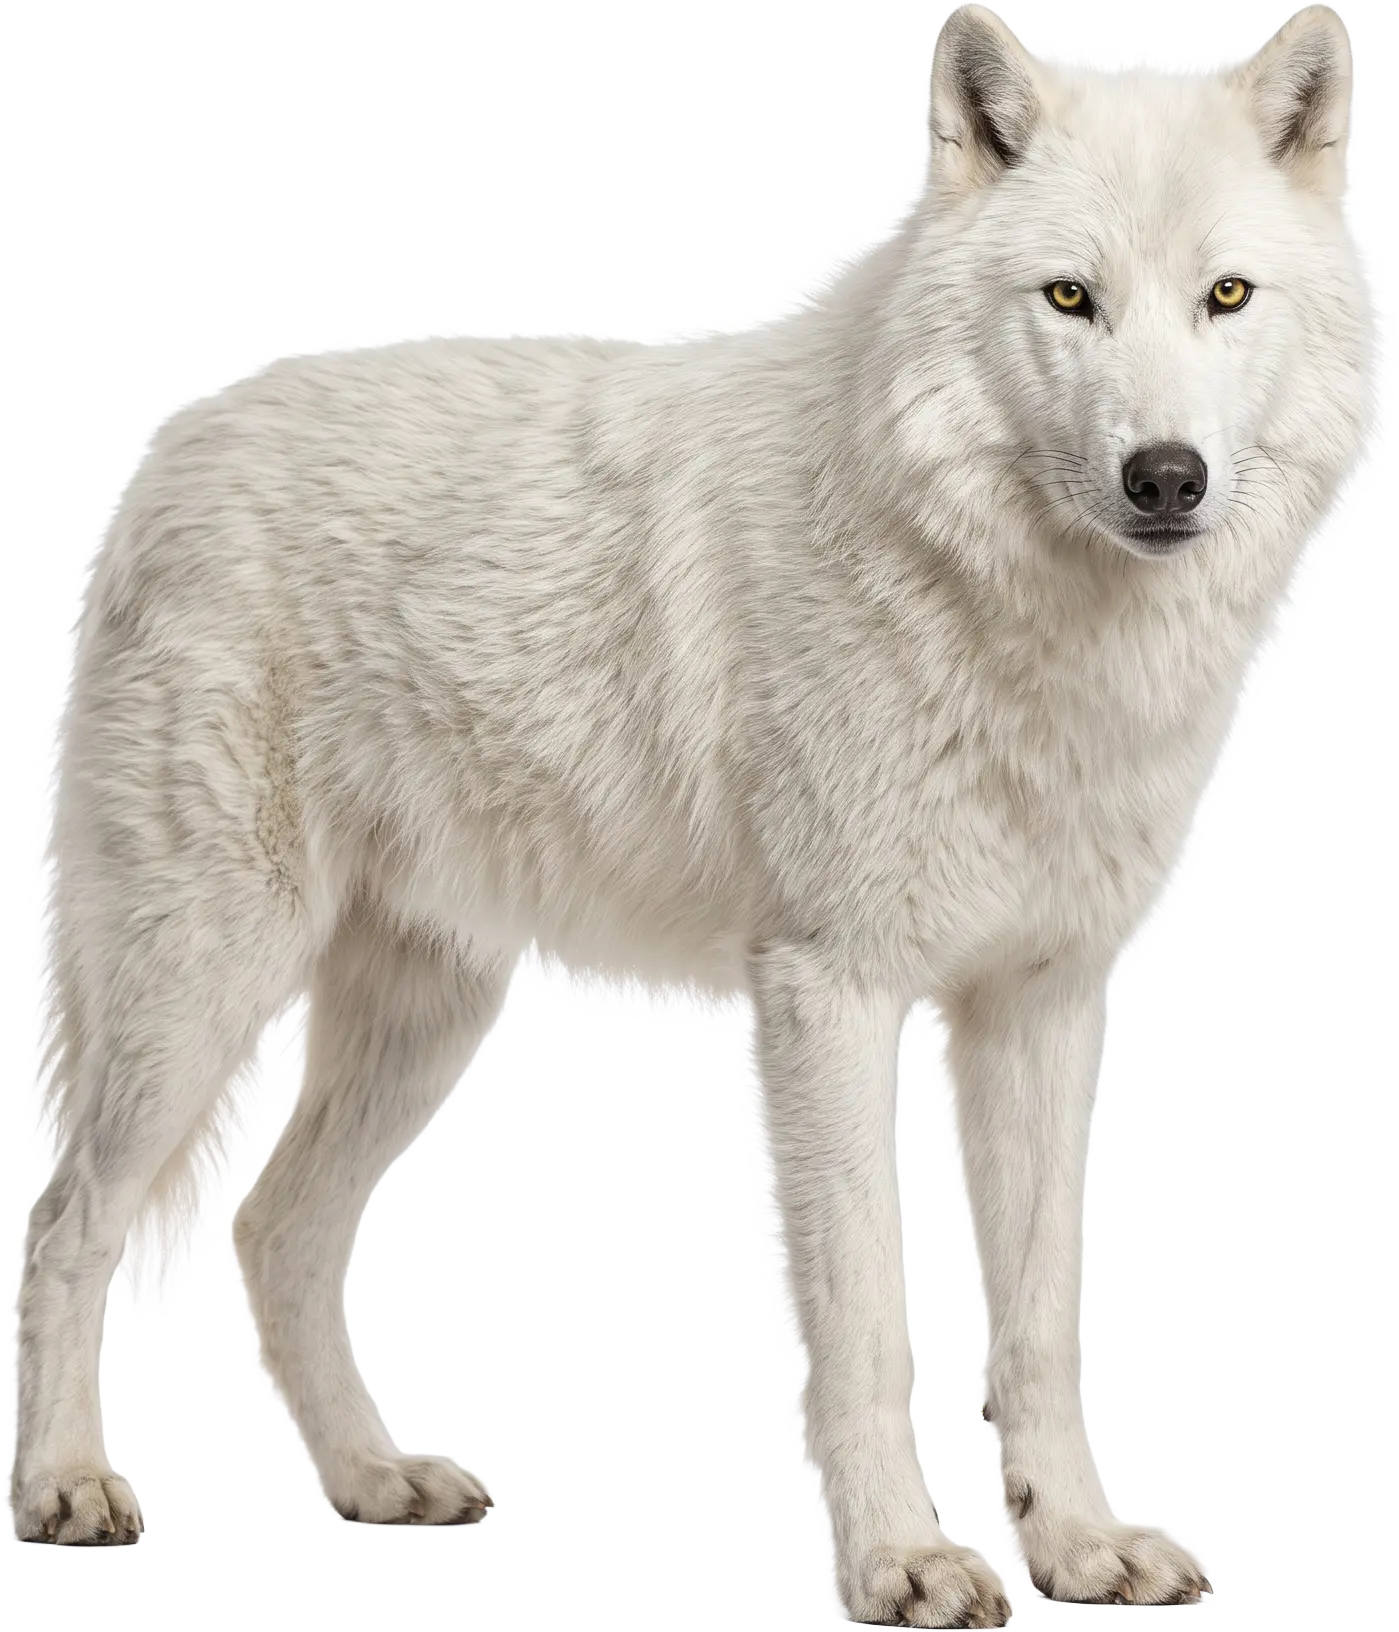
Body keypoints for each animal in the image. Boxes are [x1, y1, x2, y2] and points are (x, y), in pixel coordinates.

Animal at [10, 3, 1371, 1623]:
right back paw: (65, 1489)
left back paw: (375, 1480)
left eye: (1224, 295)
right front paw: (901, 1562)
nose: (1164, 477)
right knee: (67, 1223)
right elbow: (870, 1321)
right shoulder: (828, 991)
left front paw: (1077, 1547)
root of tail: (162, 456)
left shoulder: (1043, 1005)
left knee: (274, 1230)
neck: (1013, 619)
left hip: (426, 1020)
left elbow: (1042, 1322)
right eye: (1068, 297)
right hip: (198, 990)